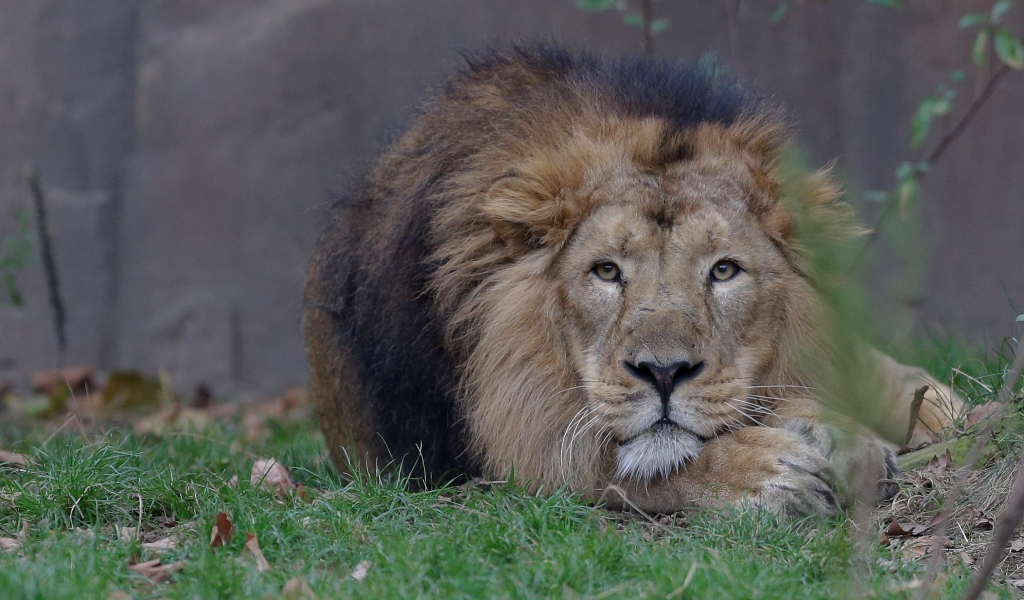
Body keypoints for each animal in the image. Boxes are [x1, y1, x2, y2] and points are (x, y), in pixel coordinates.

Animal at [301, 45, 958, 513]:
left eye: (724, 270)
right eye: (606, 271)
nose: (663, 373)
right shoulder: (511, 433)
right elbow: (630, 466)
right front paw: (771, 469)